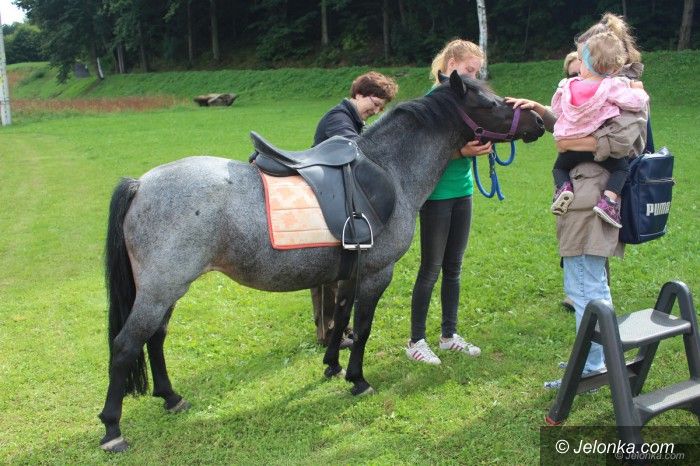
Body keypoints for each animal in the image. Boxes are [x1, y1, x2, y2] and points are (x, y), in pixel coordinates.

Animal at [98, 71, 545, 452]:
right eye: (490, 103)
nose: (539, 121)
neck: (390, 170)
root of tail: (141, 185)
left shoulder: (350, 273)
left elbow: (340, 316)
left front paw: (332, 366)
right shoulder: (377, 274)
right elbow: (362, 329)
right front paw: (358, 380)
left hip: (168, 291)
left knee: (155, 338)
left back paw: (171, 397)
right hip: (161, 290)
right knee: (125, 345)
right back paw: (112, 429)